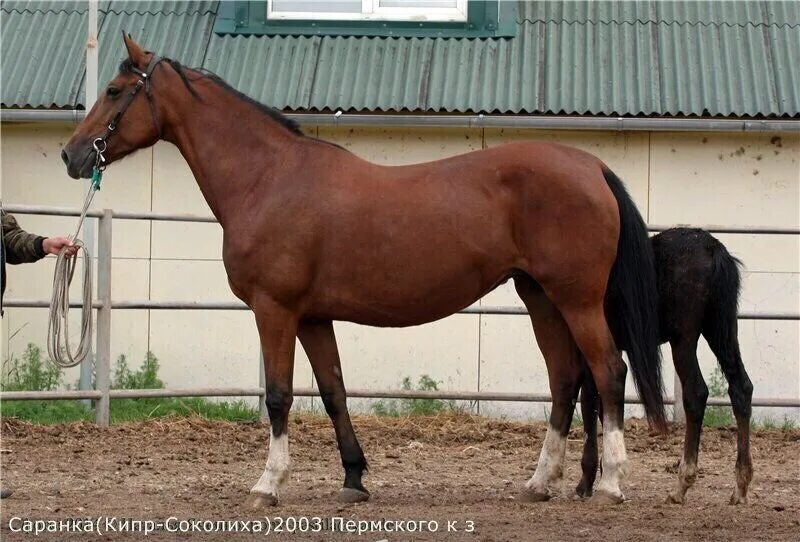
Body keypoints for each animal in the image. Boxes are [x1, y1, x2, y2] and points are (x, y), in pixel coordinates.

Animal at [61, 36, 668, 508]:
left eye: (113, 91)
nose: (71, 155)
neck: (268, 178)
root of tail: (591, 165)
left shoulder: (275, 311)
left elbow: (278, 396)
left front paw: (268, 484)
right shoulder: (312, 318)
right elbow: (333, 391)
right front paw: (354, 477)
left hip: (576, 299)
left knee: (608, 372)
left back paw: (610, 484)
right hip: (540, 296)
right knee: (566, 380)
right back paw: (541, 482)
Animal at [576, 228, 752, 506]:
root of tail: (713, 250)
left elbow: (590, 406)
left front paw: (588, 482)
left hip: (684, 339)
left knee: (696, 393)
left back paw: (681, 486)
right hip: (721, 331)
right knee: (741, 388)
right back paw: (740, 486)